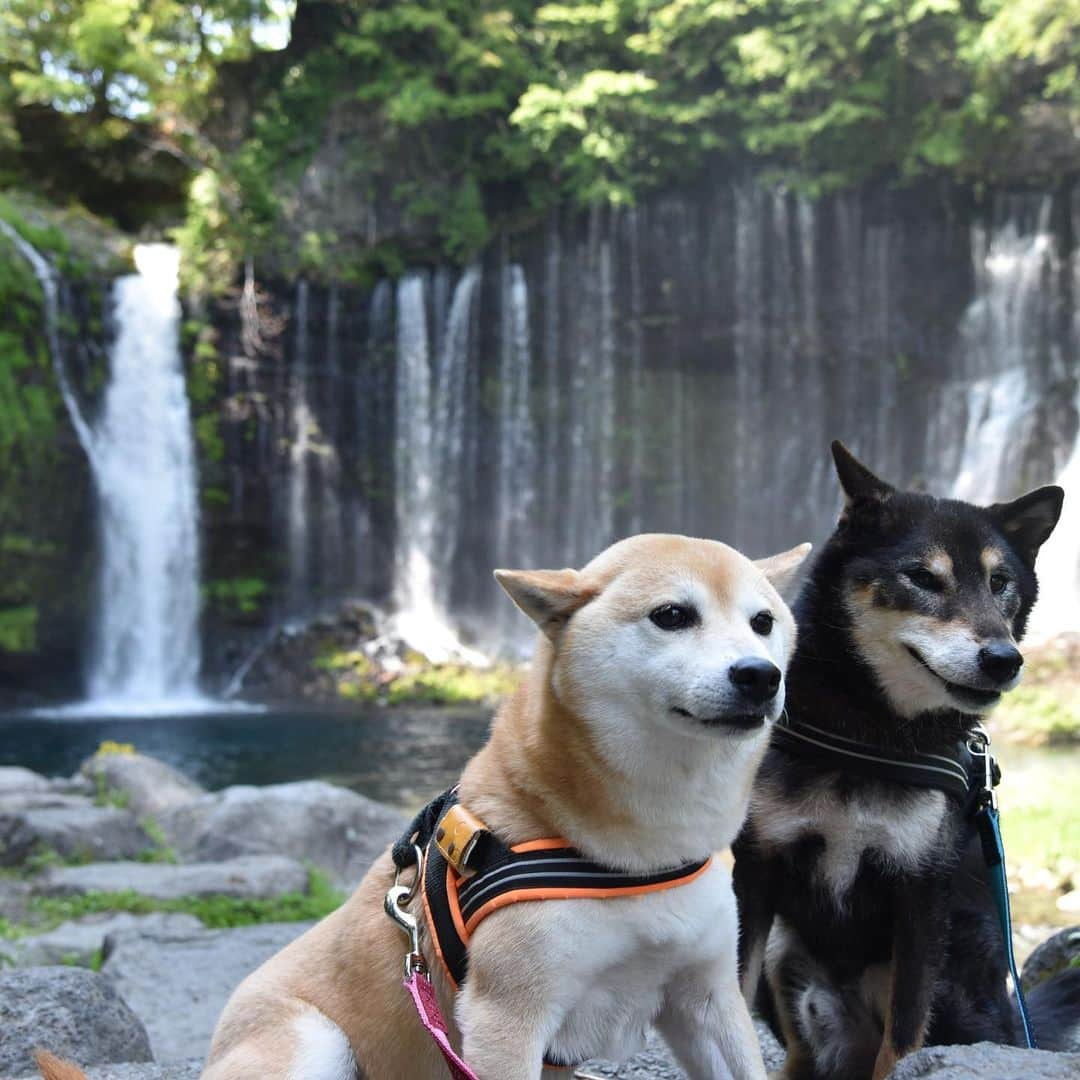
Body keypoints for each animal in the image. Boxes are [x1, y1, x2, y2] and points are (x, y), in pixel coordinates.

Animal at [190, 535, 807, 1075]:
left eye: (763, 622)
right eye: (673, 615)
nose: (760, 675)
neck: (648, 848)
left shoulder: (709, 998)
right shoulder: (506, 1016)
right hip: (318, 1042)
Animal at [734, 440, 1080, 1080]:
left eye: (1000, 582)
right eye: (922, 577)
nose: (1005, 659)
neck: (871, 734)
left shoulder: (920, 897)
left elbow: (903, 1035)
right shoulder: (757, 872)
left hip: (958, 968)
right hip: (786, 953)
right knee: (800, 1051)